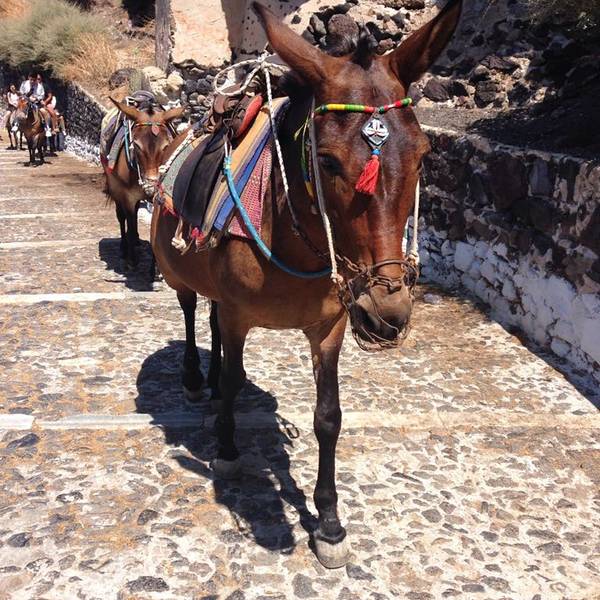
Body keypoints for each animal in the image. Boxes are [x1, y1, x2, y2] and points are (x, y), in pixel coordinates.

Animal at [102, 97, 183, 272]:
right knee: (122, 217)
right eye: (137, 146)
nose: (151, 186)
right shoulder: (127, 196)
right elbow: (130, 223)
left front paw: (156, 267)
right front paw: (133, 261)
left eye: (166, 146)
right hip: (115, 189)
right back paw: (124, 248)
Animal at [152, 0, 462, 568]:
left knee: (210, 321)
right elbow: (234, 377)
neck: (292, 230)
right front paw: (226, 449)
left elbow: (328, 416)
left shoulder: (330, 326)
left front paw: (330, 523)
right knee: (190, 313)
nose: (385, 312)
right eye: (327, 160)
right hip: (180, 272)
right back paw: (194, 378)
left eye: (424, 154)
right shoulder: (240, 316)